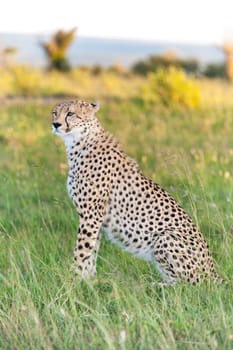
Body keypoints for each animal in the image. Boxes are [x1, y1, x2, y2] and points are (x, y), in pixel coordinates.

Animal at [51, 98, 220, 284]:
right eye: (54, 113)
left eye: (70, 113)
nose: (56, 124)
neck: (80, 141)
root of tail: (214, 272)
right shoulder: (96, 217)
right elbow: (92, 251)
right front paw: (89, 280)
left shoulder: (91, 214)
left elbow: (82, 251)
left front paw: (72, 280)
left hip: (165, 237)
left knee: (187, 285)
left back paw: (153, 284)